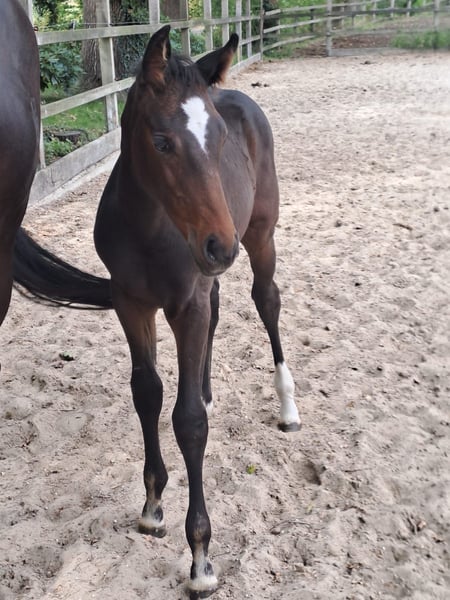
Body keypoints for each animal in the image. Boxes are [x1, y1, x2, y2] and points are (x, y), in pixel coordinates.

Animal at [13, 25, 301, 598]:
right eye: (162, 141)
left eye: (218, 140)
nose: (219, 246)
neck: (148, 229)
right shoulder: (132, 303)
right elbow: (147, 393)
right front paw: (151, 504)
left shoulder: (184, 303)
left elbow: (187, 421)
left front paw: (201, 557)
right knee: (219, 306)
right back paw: (210, 388)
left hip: (260, 235)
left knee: (267, 301)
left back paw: (287, 406)